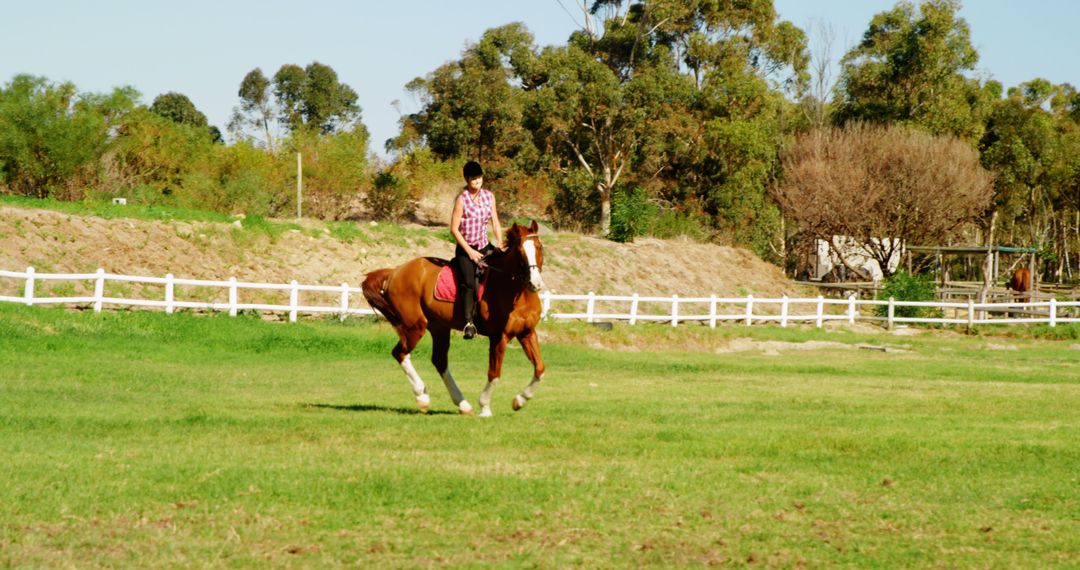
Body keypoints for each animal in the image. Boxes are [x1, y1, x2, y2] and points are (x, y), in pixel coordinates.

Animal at [362, 220, 548, 416]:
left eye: (539, 247)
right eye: (520, 252)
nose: (535, 284)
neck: (517, 293)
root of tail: (395, 271)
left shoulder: (527, 332)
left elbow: (540, 369)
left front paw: (520, 400)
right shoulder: (499, 336)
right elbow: (494, 373)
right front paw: (485, 407)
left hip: (439, 328)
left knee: (439, 361)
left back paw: (462, 404)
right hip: (415, 326)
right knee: (400, 353)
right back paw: (422, 397)